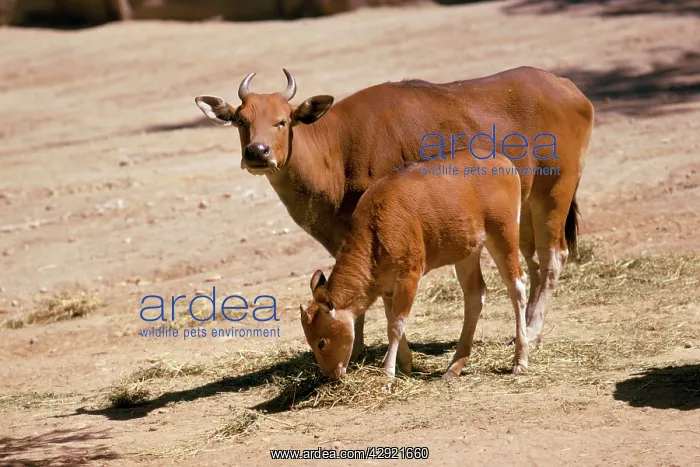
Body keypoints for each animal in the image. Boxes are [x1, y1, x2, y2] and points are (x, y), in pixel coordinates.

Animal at [300, 151, 527, 380]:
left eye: (321, 342)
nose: (331, 374)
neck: (376, 228)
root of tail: (502, 161)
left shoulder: (409, 277)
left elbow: (396, 325)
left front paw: (388, 373)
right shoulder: (387, 288)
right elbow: (391, 319)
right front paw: (405, 366)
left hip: (504, 234)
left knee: (516, 286)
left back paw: (520, 360)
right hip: (467, 252)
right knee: (475, 295)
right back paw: (454, 366)